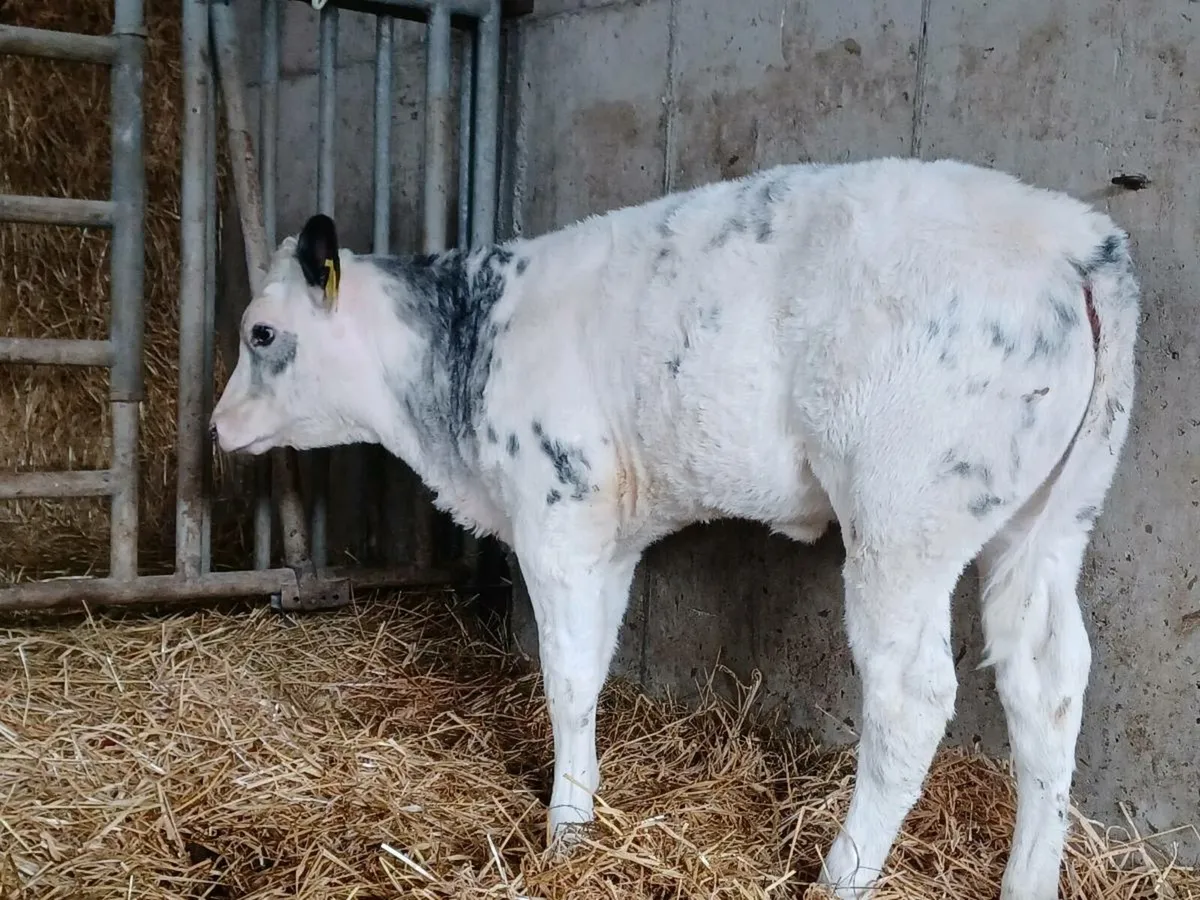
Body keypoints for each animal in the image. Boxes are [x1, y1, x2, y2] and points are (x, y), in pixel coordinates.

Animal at [209, 156, 1140, 900]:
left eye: (262, 333)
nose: (216, 427)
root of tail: (1072, 234)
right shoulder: (610, 535)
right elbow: (592, 668)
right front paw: (580, 811)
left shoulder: (555, 514)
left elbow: (565, 677)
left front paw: (564, 828)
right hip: (1050, 521)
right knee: (1049, 683)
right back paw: (1028, 882)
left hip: (903, 519)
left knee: (912, 698)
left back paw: (840, 877)